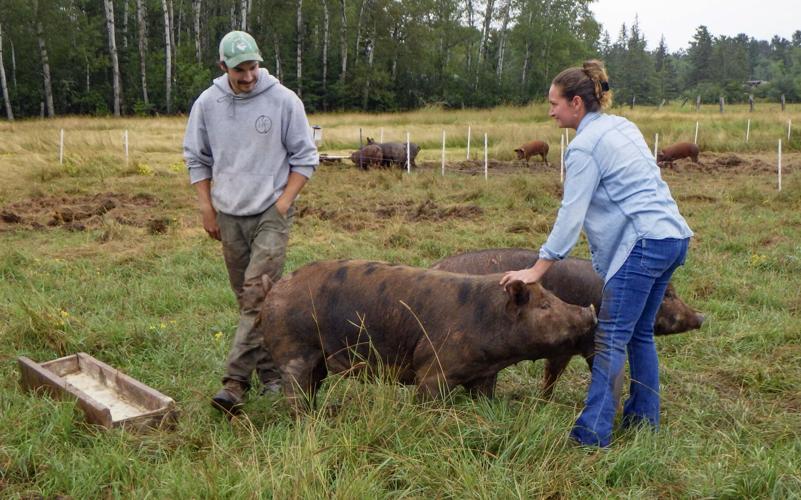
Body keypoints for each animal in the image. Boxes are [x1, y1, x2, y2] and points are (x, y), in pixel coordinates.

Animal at [258, 259, 597, 414]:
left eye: (552, 297)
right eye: (544, 305)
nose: (589, 311)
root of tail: (274, 286)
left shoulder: (484, 374)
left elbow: (485, 397)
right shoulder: (434, 369)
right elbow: (428, 400)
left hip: (316, 359)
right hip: (294, 350)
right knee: (296, 389)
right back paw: (307, 419)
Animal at [431, 248, 705, 397]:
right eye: (669, 295)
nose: (702, 316)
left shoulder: (565, 348)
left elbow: (552, 373)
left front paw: (544, 400)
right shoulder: (589, 343)